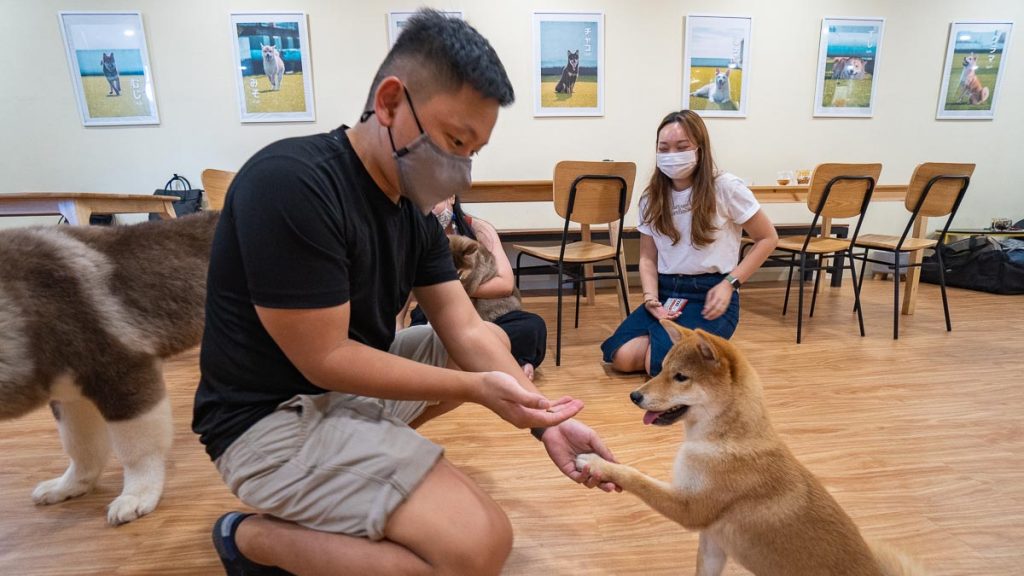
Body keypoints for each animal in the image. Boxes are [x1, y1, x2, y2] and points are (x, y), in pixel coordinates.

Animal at [1, 212, 218, 524]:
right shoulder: (69, 395)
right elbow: (81, 448)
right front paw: (70, 486)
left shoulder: (125, 375)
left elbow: (137, 451)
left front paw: (138, 494)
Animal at [577, 319, 929, 569]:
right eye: (661, 370)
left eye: (681, 378)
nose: (634, 395)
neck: (724, 438)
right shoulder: (713, 544)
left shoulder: (690, 507)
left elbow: (634, 475)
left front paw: (596, 462)